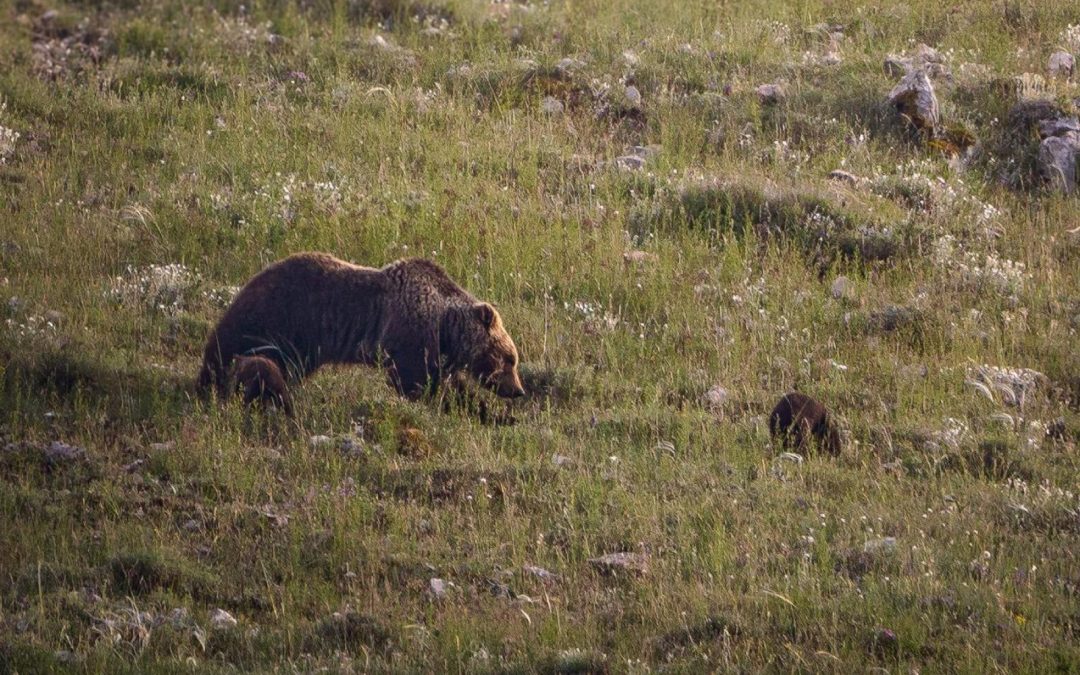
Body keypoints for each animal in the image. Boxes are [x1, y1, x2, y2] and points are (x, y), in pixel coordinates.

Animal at [200, 252, 529, 408]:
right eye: (510, 358)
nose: (518, 390)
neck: (444, 324)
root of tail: (247, 284)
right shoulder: (410, 331)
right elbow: (415, 380)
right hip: (277, 319)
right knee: (238, 355)